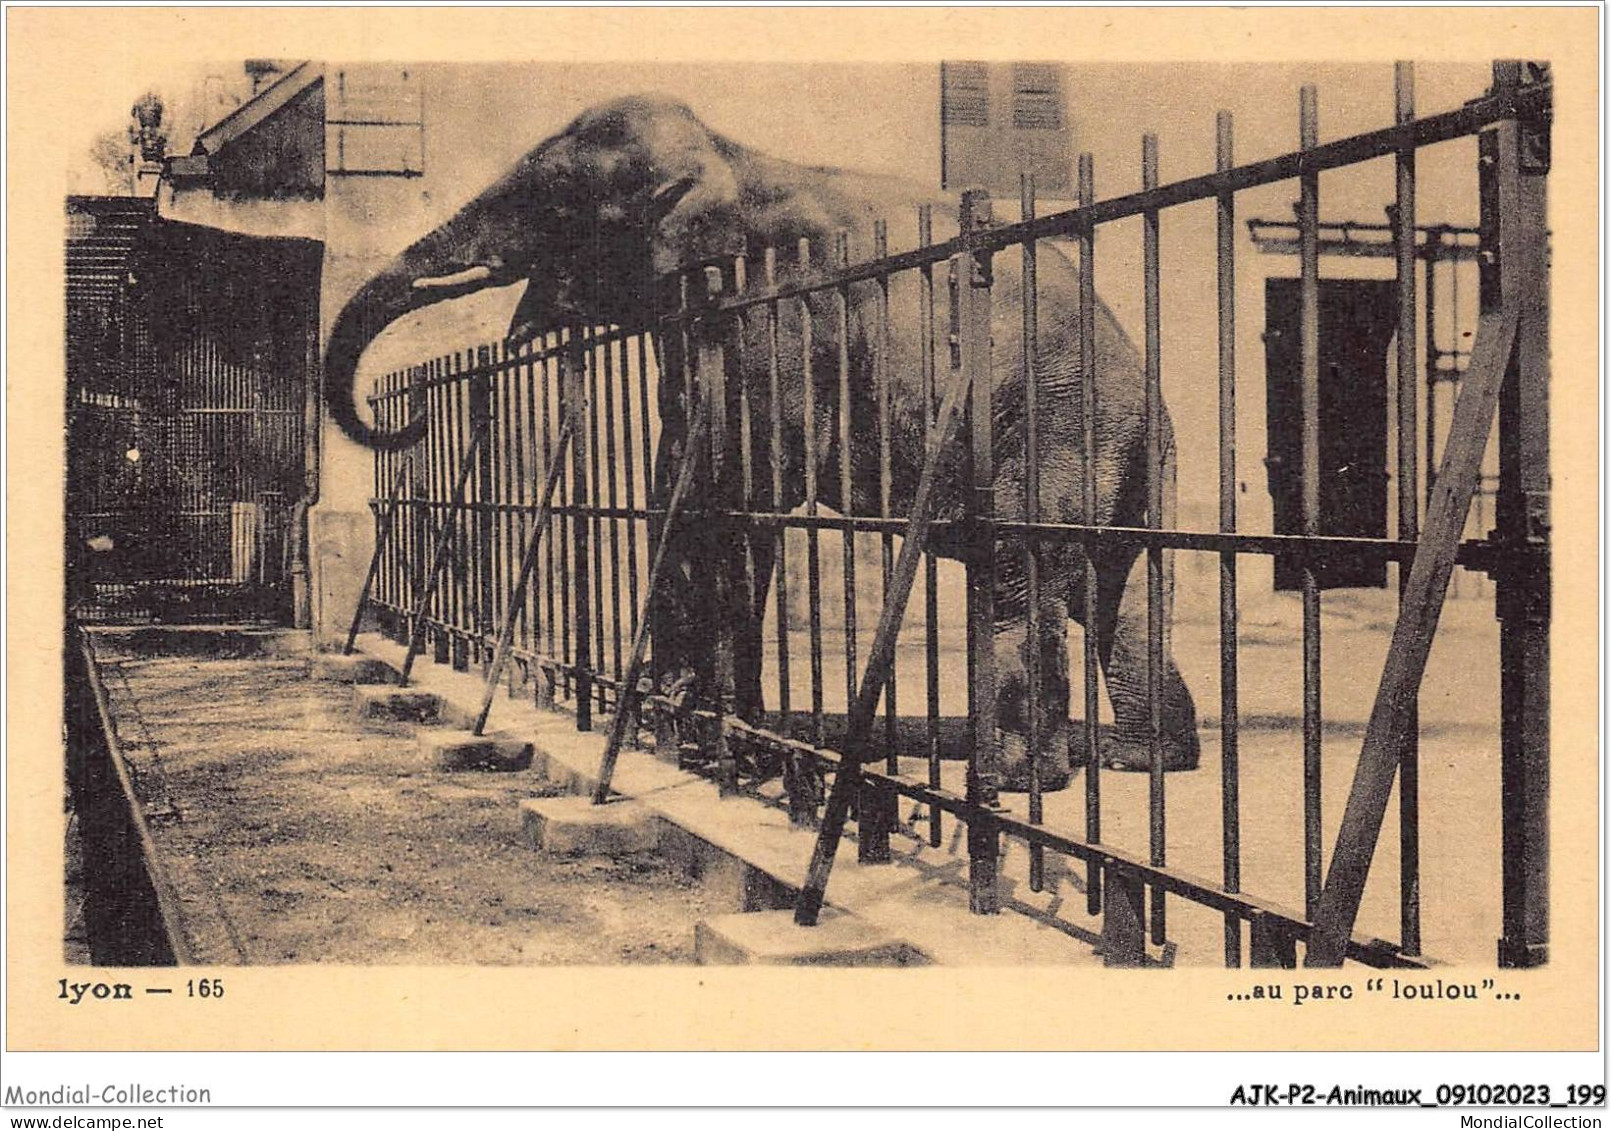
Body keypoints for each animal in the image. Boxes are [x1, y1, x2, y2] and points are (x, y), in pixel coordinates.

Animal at [323, 93, 1198, 789]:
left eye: (559, 197)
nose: (402, 414)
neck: (727, 153)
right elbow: (678, 480)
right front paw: (682, 728)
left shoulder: (776, 314)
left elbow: (740, 488)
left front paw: (720, 742)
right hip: (1123, 453)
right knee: (1114, 588)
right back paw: (1139, 758)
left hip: (1054, 429)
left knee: (1021, 574)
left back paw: (1017, 779)